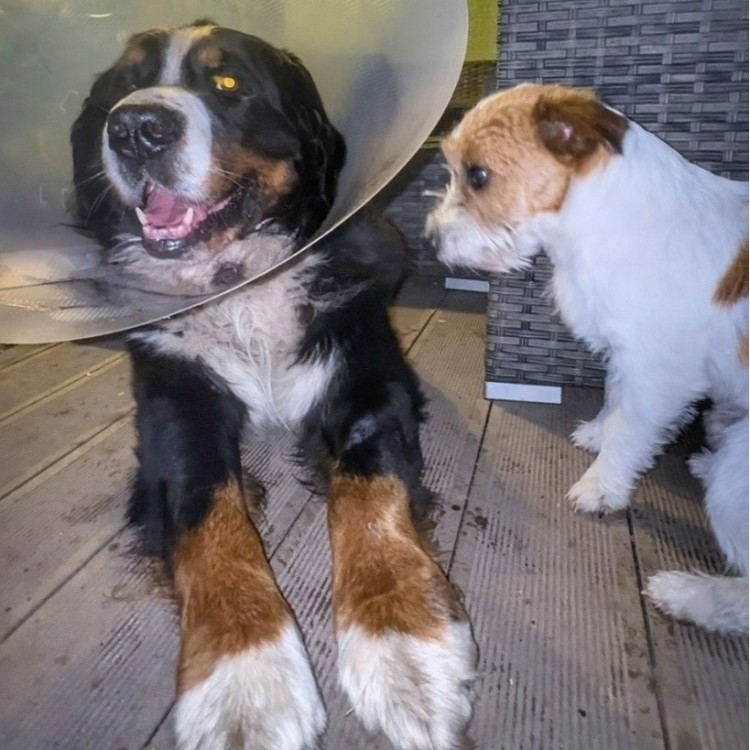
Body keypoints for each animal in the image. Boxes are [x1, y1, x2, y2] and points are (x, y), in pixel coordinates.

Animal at [71, 21, 476, 750]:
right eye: (125, 84)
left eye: (228, 82)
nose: (136, 126)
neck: (240, 282)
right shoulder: (177, 405)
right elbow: (209, 520)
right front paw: (245, 679)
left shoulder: (367, 380)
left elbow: (371, 494)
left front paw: (404, 645)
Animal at [425, 83, 748, 635]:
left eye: (479, 175)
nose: (429, 238)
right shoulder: (627, 358)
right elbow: (615, 402)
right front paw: (597, 434)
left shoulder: (657, 373)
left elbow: (629, 428)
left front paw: (601, 485)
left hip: (737, 478)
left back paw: (686, 594)